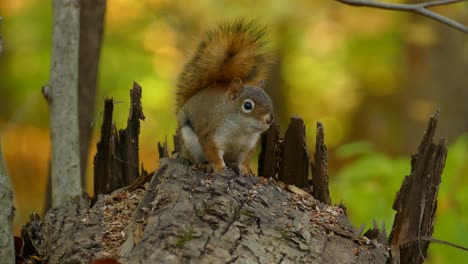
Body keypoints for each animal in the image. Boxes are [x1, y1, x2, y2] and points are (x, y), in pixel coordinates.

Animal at [176, 20, 274, 173]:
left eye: (269, 100)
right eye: (247, 105)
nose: (269, 119)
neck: (240, 130)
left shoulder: (249, 144)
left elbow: (245, 159)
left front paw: (245, 170)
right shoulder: (210, 135)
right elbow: (213, 153)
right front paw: (219, 167)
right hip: (189, 141)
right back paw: (203, 164)